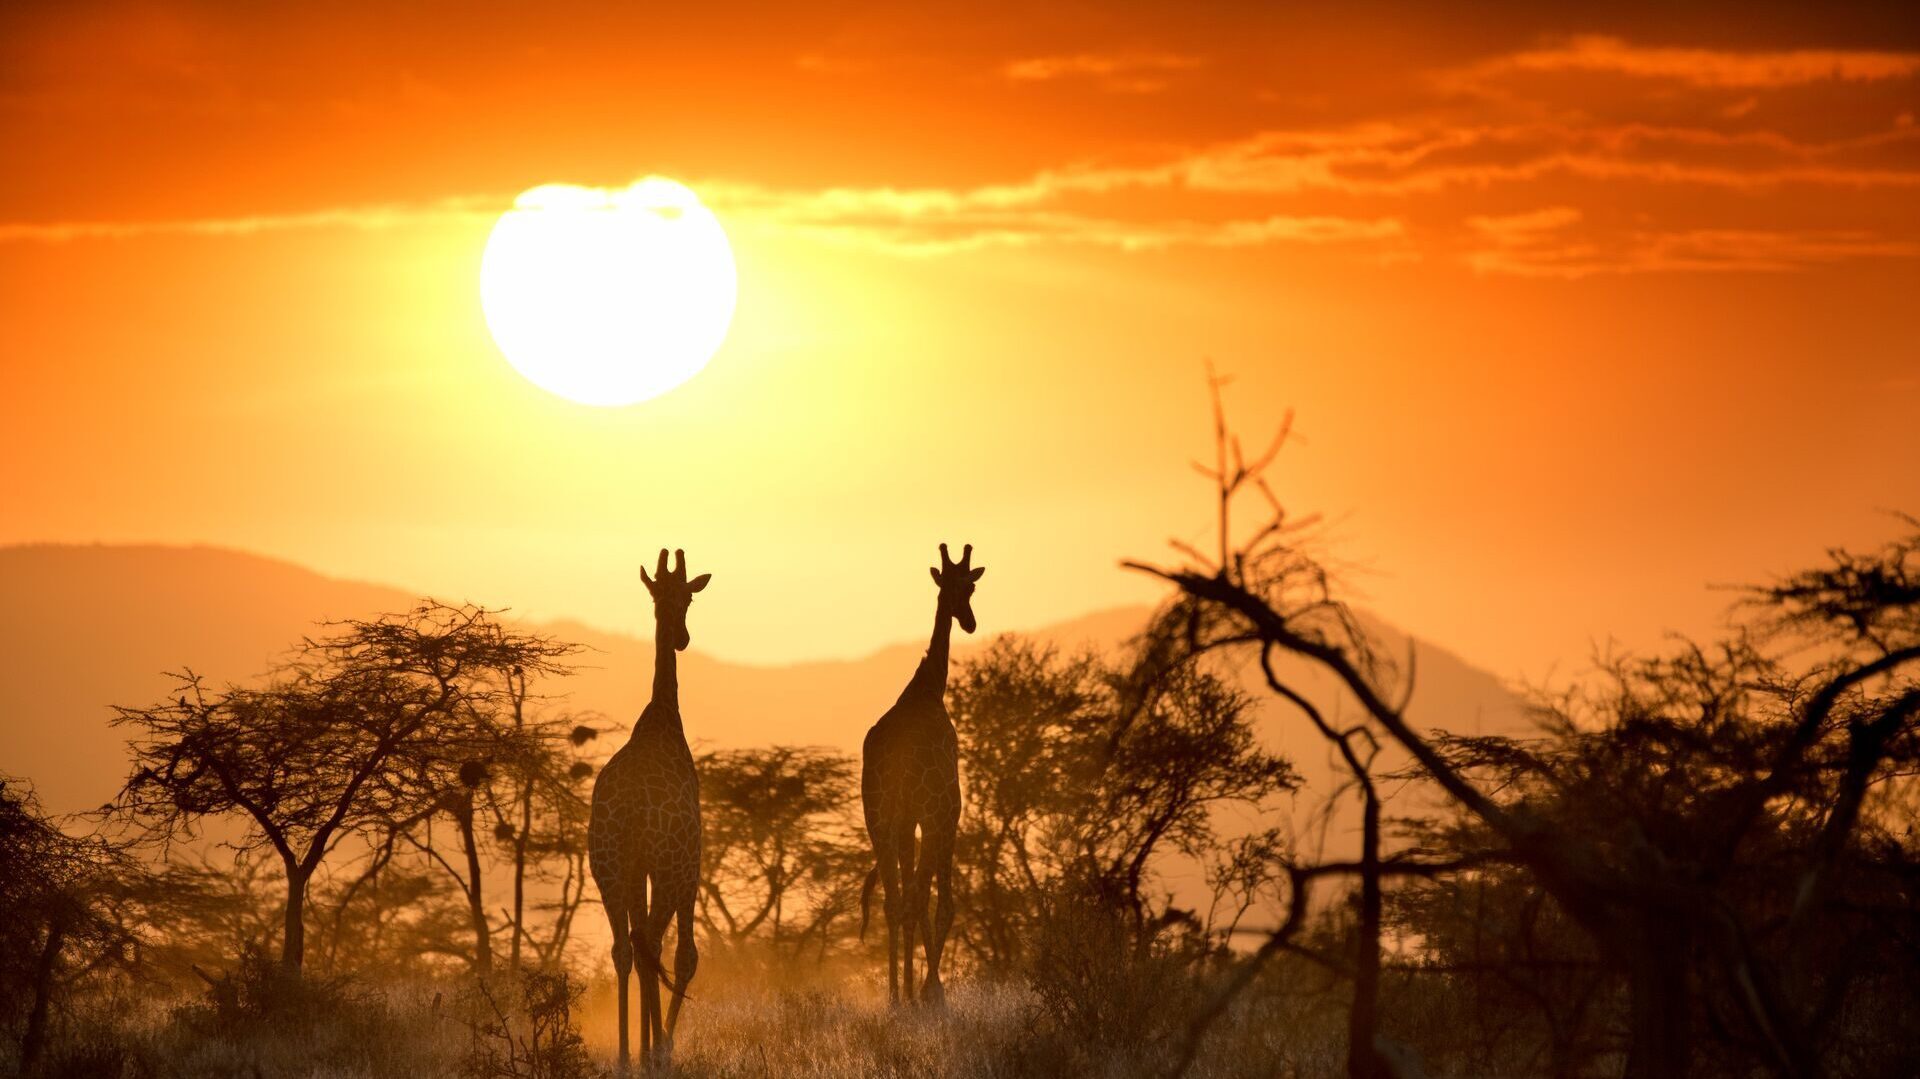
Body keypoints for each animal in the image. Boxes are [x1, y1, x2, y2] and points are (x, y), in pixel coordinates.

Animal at [860, 542, 981, 1006]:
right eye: (963, 587)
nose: (970, 621)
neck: (929, 687)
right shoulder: (946, 814)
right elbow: (942, 903)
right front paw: (934, 991)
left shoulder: (906, 821)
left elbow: (914, 897)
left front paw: (920, 990)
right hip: (928, 815)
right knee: (915, 898)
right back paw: (915, 995)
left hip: (878, 819)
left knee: (895, 900)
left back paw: (897, 997)